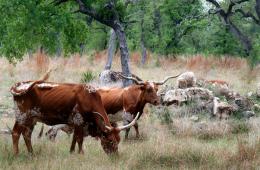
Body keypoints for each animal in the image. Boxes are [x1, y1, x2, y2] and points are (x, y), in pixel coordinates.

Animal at [9, 77, 138, 155]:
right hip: (21, 117)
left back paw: (31, 153)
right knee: (16, 133)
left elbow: (74, 138)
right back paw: (16, 154)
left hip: (31, 119)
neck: (89, 98)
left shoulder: (77, 123)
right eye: (110, 141)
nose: (115, 156)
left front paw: (71, 152)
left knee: (27, 135)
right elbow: (79, 139)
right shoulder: (78, 120)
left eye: (119, 140)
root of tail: (19, 85)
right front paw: (81, 153)